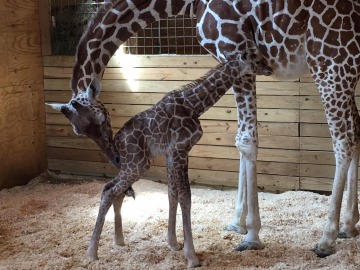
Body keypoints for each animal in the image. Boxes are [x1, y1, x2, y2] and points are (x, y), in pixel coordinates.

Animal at [48, 51, 272, 266]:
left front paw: (173, 243)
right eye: (256, 60)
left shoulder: (172, 153)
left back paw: (118, 241)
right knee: (109, 191)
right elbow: (185, 197)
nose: (269, 69)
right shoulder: (181, 149)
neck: (194, 105)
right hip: (137, 165)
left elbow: (172, 194)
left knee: (114, 190)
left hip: (134, 165)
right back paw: (92, 253)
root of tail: (117, 143)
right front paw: (191, 256)